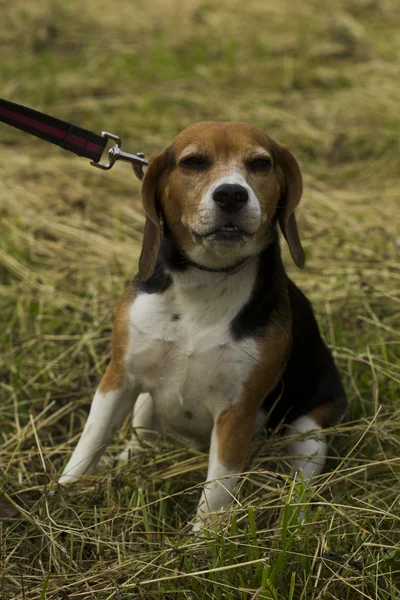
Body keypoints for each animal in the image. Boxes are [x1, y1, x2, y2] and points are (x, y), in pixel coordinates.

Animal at [59, 120, 346, 524]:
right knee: (143, 439)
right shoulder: (118, 377)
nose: (231, 195)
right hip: (145, 402)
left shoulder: (237, 411)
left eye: (261, 163)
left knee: (300, 479)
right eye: (192, 162)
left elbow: (217, 491)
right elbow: (90, 441)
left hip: (308, 431)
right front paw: (61, 494)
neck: (206, 279)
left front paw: (202, 539)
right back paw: (127, 461)